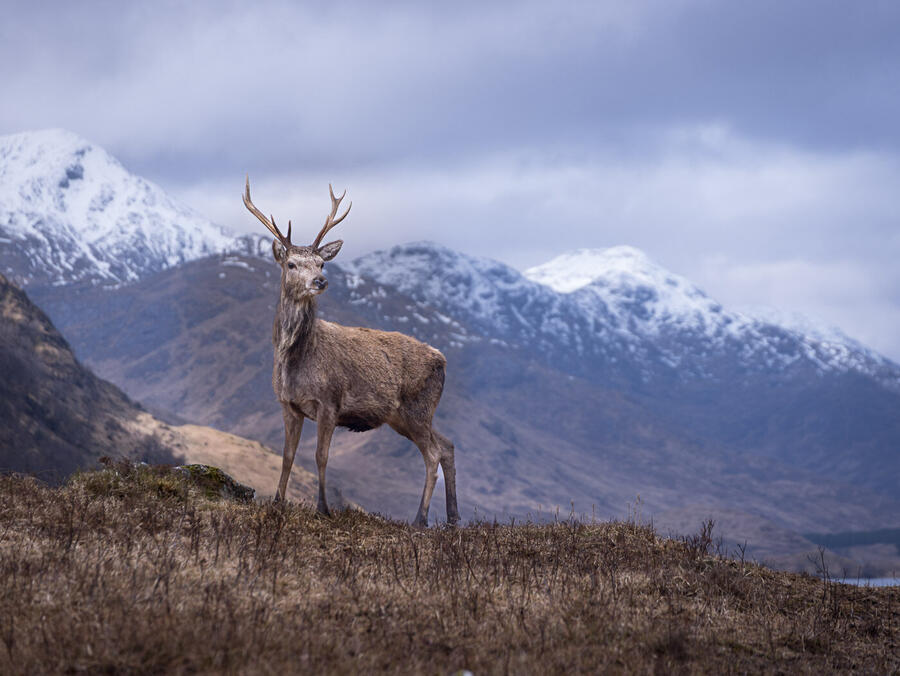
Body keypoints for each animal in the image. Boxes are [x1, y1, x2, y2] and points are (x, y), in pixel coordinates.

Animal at [242, 177, 460, 526]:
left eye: (321, 263)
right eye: (291, 263)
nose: (320, 280)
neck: (295, 360)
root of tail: (441, 359)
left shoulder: (329, 402)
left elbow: (321, 456)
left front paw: (323, 508)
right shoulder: (288, 405)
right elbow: (288, 455)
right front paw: (277, 502)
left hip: (417, 408)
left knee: (434, 454)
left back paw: (420, 519)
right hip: (406, 415)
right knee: (448, 445)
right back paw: (453, 518)